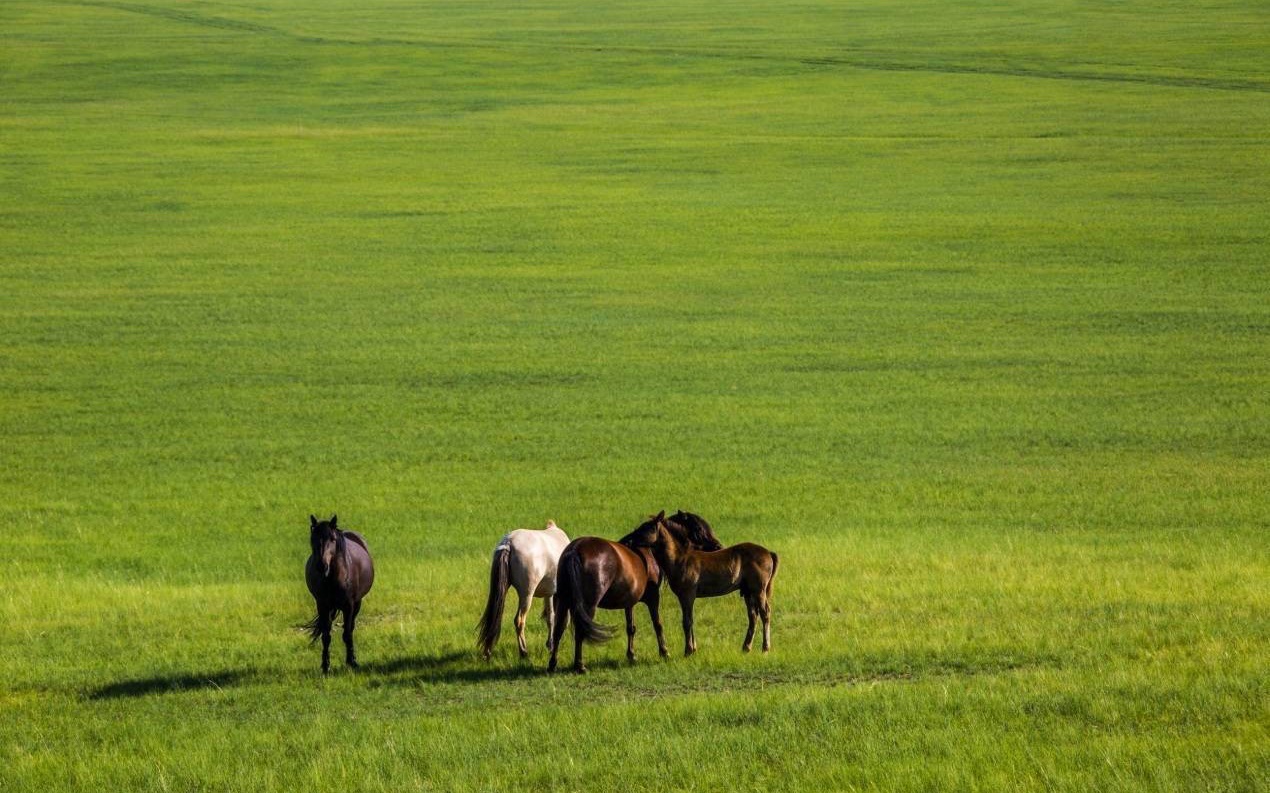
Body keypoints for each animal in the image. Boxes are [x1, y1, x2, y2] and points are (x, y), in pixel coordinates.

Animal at [303, 513, 373, 676]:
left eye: (332, 539)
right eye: (313, 538)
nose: (321, 565)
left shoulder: (349, 606)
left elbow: (347, 633)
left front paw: (351, 662)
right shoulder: (322, 605)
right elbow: (326, 636)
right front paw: (325, 666)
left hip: (357, 604)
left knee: (351, 628)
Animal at [477, 521, 571, 655]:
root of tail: (509, 542)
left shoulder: (549, 593)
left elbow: (550, 617)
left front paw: (550, 644)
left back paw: (488, 651)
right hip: (526, 594)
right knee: (519, 620)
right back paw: (523, 652)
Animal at [622, 510, 772, 655]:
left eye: (648, 528)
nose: (628, 541)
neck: (680, 559)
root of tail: (769, 553)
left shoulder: (687, 595)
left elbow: (687, 622)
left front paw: (688, 651)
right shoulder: (687, 597)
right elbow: (691, 620)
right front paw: (693, 649)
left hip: (759, 590)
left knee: (765, 613)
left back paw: (765, 648)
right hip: (748, 592)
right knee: (753, 616)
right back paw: (746, 647)